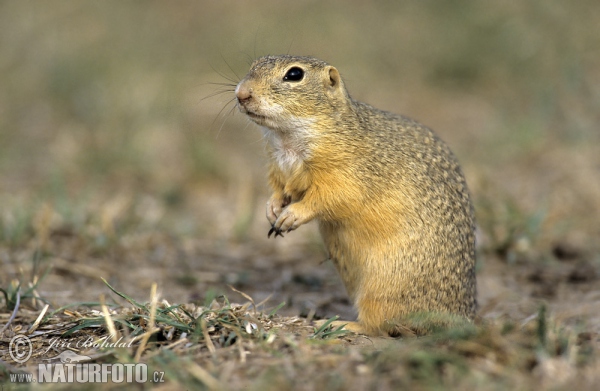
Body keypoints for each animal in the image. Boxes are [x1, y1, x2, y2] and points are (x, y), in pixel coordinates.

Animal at [234, 54, 478, 336]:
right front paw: (272, 208)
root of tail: (461, 319)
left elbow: (329, 198)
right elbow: (279, 190)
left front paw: (291, 215)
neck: (287, 139)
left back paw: (341, 324)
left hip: (381, 290)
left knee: (379, 327)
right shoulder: (279, 170)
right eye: (253, 64)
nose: (241, 94)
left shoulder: (347, 175)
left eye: (294, 75)